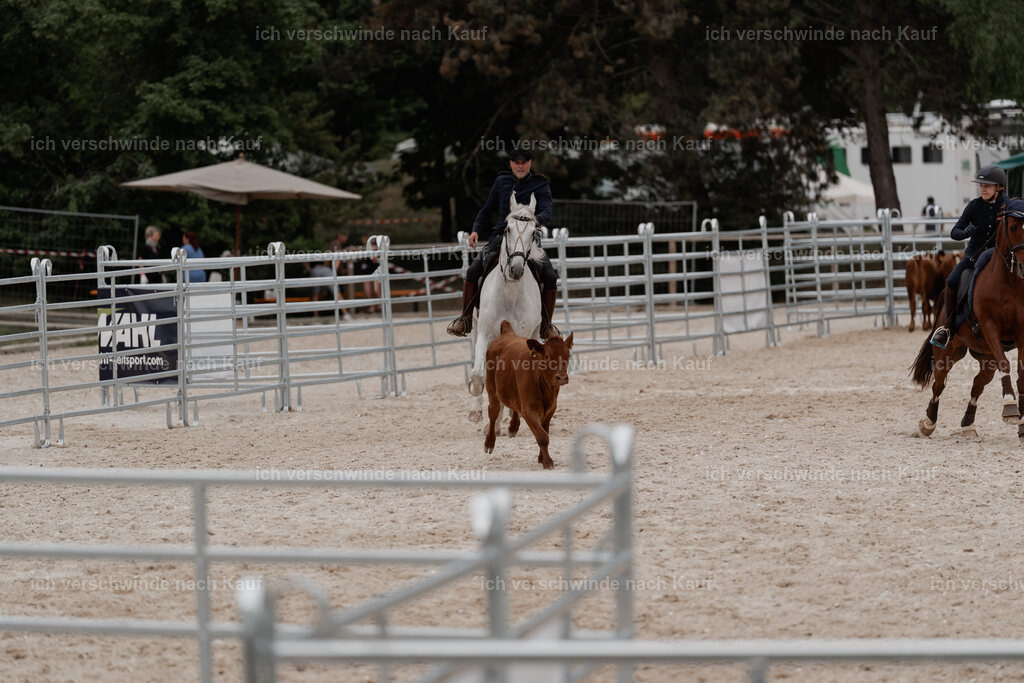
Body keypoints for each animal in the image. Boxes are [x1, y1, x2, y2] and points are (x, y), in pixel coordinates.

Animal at [467, 193, 544, 422]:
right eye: (507, 229)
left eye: (534, 232)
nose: (516, 269)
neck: (509, 294)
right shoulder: (485, 333)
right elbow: (478, 375)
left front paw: (507, 414)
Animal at [911, 203, 1024, 439]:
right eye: (1012, 226)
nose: (1023, 264)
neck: (1009, 282)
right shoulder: (990, 328)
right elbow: (1006, 364)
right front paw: (1010, 407)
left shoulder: (1021, 334)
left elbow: (1021, 376)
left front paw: (1022, 424)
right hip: (947, 353)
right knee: (938, 385)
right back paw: (928, 422)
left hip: (986, 356)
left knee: (977, 385)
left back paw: (968, 424)